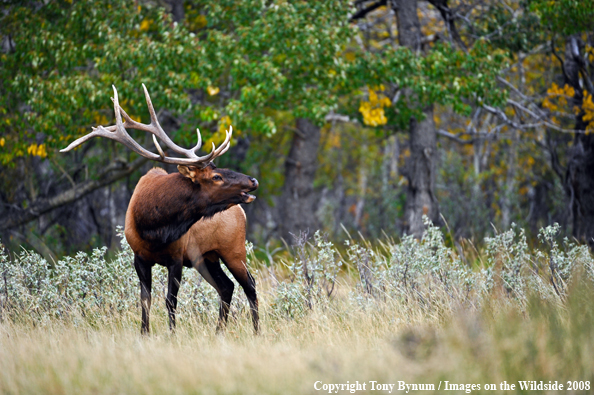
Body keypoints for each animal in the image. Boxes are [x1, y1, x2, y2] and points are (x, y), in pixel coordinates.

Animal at [61, 86, 258, 334]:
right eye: (216, 176)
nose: (253, 180)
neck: (153, 226)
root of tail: (241, 212)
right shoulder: (140, 257)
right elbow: (145, 299)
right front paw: (144, 333)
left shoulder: (176, 257)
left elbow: (170, 300)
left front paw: (171, 334)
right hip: (207, 257)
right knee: (228, 287)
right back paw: (219, 332)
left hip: (233, 249)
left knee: (250, 285)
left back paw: (256, 332)